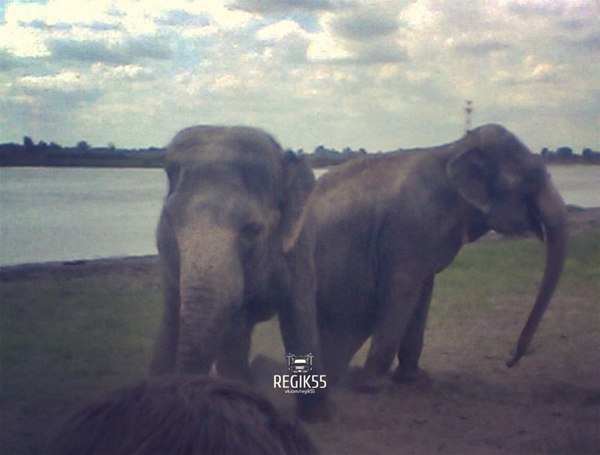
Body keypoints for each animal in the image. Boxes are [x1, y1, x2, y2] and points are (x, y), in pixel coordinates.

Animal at [150, 124, 328, 420]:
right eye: (170, 223)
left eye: (251, 230)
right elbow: (234, 331)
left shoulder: (300, 243)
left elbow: (299, 313)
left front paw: (316, 416)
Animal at [312, 124, 568, 392]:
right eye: (529, 183)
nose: (509, 361)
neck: (452, 150)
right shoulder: (410, 227)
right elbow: (403, 288)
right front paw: (374, 386)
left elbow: (423, 290)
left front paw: (414, 379)